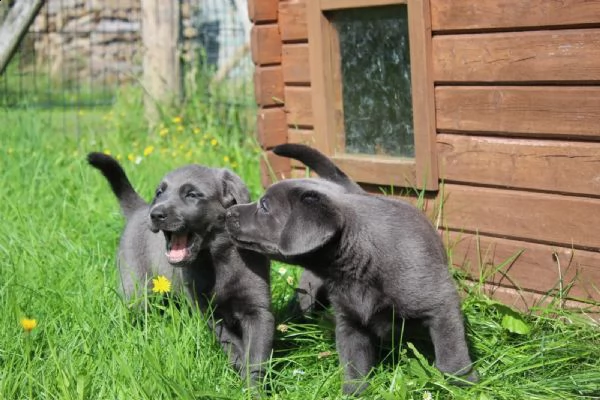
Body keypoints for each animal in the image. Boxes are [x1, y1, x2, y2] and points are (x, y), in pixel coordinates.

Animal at [87, 153, 274, 384]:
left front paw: (251, 385)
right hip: (136, 287)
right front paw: (239, 366)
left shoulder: (258, 311)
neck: (216, 259)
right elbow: (231, 343)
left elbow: (255, 356)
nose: (156, 214)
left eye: (192, 194)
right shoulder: (208, 313)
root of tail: (139, 210)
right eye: (159, 192)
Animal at [225, 145, 478, 396]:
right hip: (309, 293)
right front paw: (354, 392)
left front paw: (463, 383)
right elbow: (354, 364)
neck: (359, 263)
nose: (228, 212)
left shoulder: (442, 305)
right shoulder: (350, 322)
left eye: (264, 206)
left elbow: (450, 354)